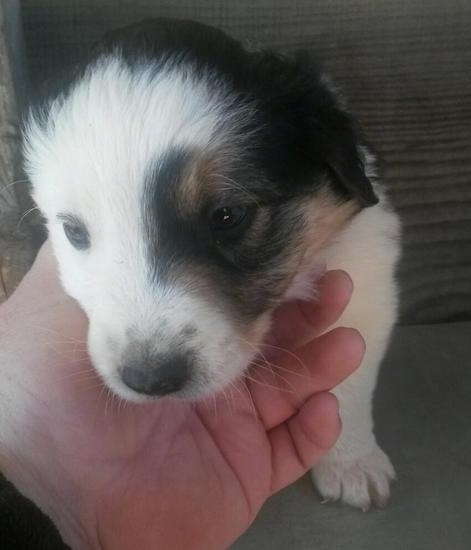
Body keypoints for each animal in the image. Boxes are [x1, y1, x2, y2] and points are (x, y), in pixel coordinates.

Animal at [23, 18, 402, 512]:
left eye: (227, 216)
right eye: (74, 231)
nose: (150, 379)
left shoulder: (364, 273)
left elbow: (350, 386)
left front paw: (354, 464)